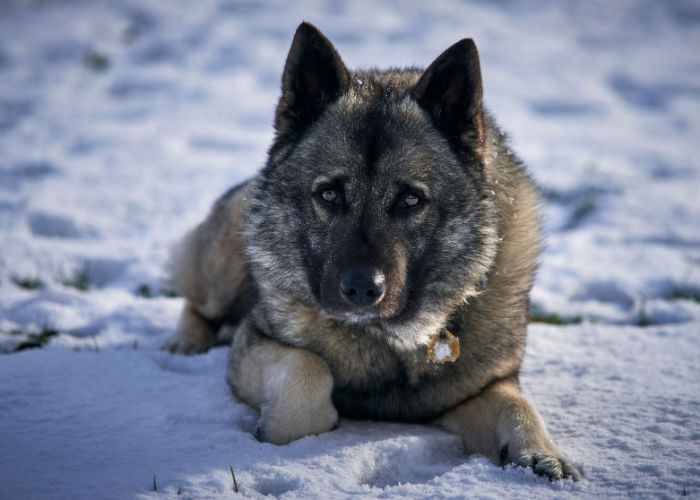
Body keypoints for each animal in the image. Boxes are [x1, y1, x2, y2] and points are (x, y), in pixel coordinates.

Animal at [163, 22, 580, 480]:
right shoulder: (253, 343)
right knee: (197, 301)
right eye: (329, 194)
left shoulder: (481, 388)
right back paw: (184, 343)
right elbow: (309, 373)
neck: (387, 341)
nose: (362, 288)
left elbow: (517, 406)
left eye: (411, 200)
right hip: (223, 266)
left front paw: (542, 454)